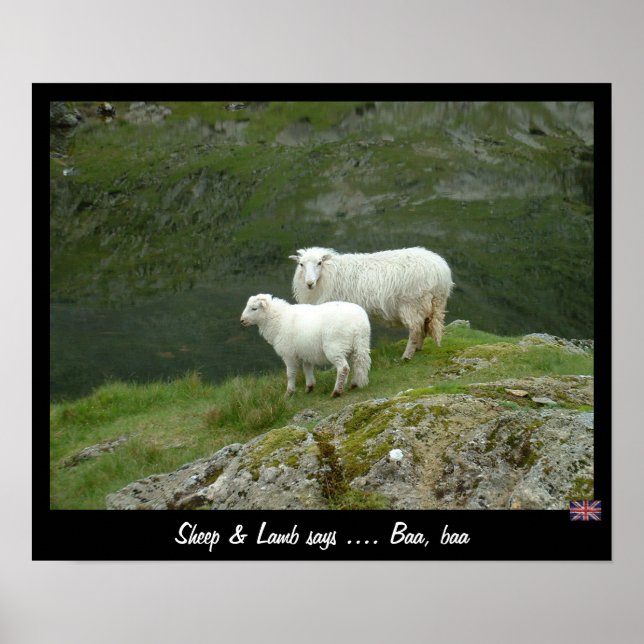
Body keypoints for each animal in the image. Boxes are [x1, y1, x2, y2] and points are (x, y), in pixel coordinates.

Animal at [240, 294, 371, 397]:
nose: (242, 320)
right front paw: (309, 387)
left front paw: (289, 393)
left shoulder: (289, 354)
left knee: (343, 368)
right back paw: (355, 384)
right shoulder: (305, 352)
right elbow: (307, 369)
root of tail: (358, 323)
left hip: (335, 347)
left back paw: (336, 392)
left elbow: (290, 374)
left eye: (254, 308)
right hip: (360, 344)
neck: (278, 320)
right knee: (359, 363)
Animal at [290, 246, 454, 361]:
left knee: (415, 329)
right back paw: (418, 348)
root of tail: (441, 272)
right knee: (423, 325)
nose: (309, 283)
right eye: (301, 264)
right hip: (428, 303)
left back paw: (407, 355)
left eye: (319, 262)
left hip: (412, 302)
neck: (329, 274)